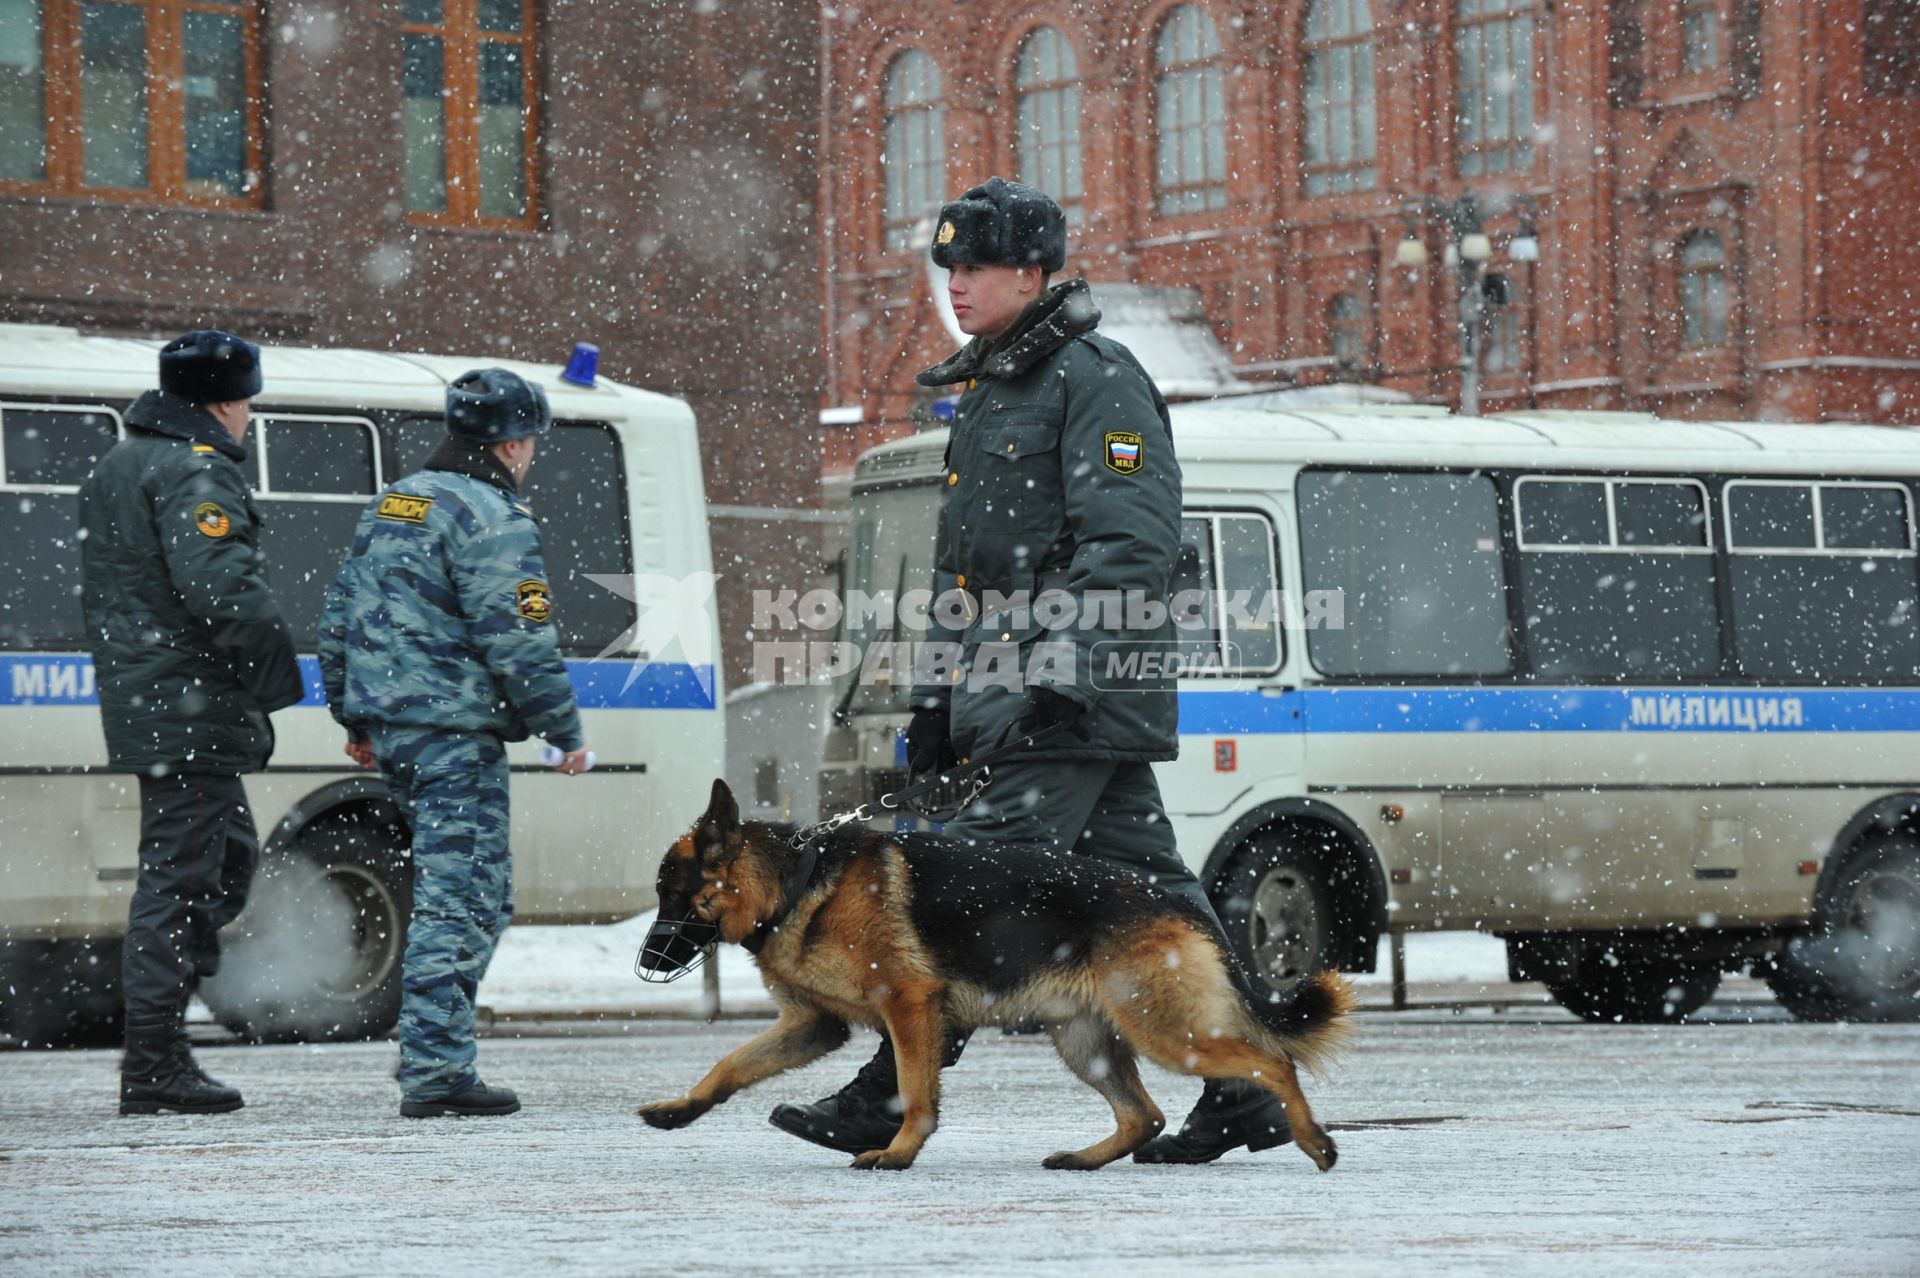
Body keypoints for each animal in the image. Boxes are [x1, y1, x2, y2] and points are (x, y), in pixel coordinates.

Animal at [80, 326, 301, 1105]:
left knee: (212, 882)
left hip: (188, 779)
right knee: (180, 898)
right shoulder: (201, 495)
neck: (167, 430)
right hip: (195, 779)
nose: (245, 417)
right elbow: (221, 580)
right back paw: (166, 1078)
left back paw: (154, 1064)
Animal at [320, 368, 583, 1112]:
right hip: (464, 789)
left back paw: (420, 1068)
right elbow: (522, 643)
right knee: (464, 909)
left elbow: (334, 615)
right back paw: (448, 1083)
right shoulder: (507, 540)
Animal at [641, 775, 1351, 1166]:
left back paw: (1313, 1140)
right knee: (1144, 1116)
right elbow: (729, 1065)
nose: (646, 962)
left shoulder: (908, 1006)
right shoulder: (813, 1026)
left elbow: (914, 1091)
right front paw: (680, 1109)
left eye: (673, 896)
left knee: (1272, 1063)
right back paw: (1085, 1159)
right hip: (1086, 1041)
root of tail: (1181, 903)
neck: (799, 882)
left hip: (1168, 1033)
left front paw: (898, 1153)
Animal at [771, 179, 1297, 1166]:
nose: (955, 286)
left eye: (974, 258)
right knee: (1182, 905)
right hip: (1123, 790)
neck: (1027, 353)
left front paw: (871, 1105)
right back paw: (1232, 1111)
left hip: (1057, 766)